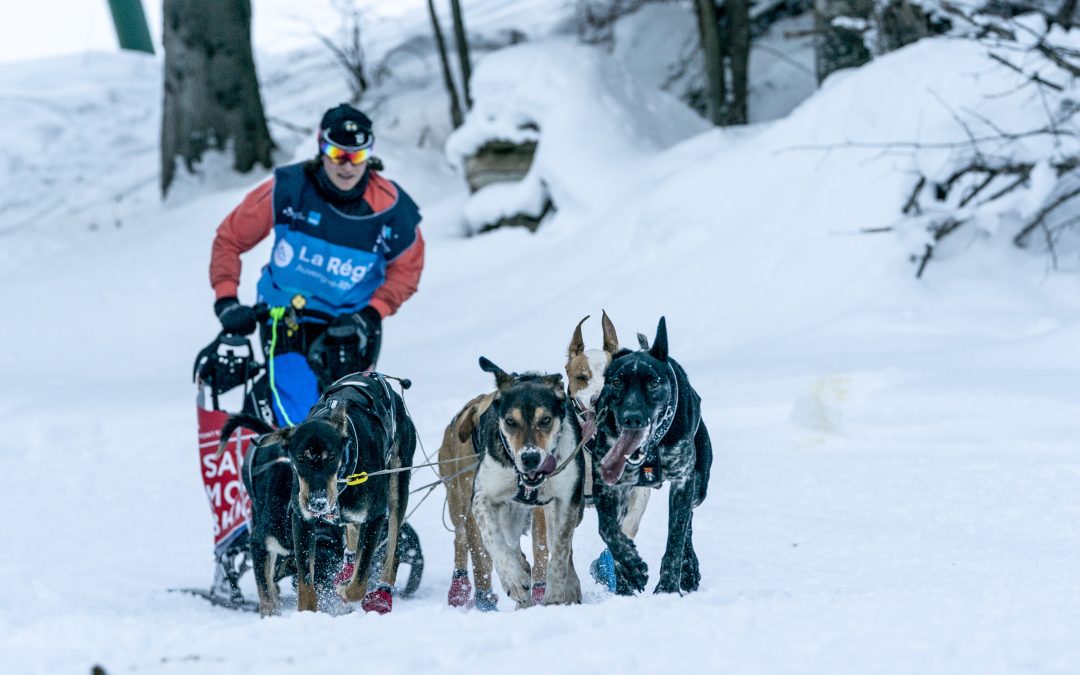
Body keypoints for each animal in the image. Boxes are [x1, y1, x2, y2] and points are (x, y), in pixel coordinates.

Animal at [591, 317, 708, 596]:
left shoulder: (683, 480)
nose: (632, 417)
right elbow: (608, 529)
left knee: (688, 523)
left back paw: (689, 571)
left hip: (699, 487)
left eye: (653, 382)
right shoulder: (606, 484)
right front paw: (630, 569)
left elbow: (676, 536)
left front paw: (667, 587)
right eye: (617, 382)